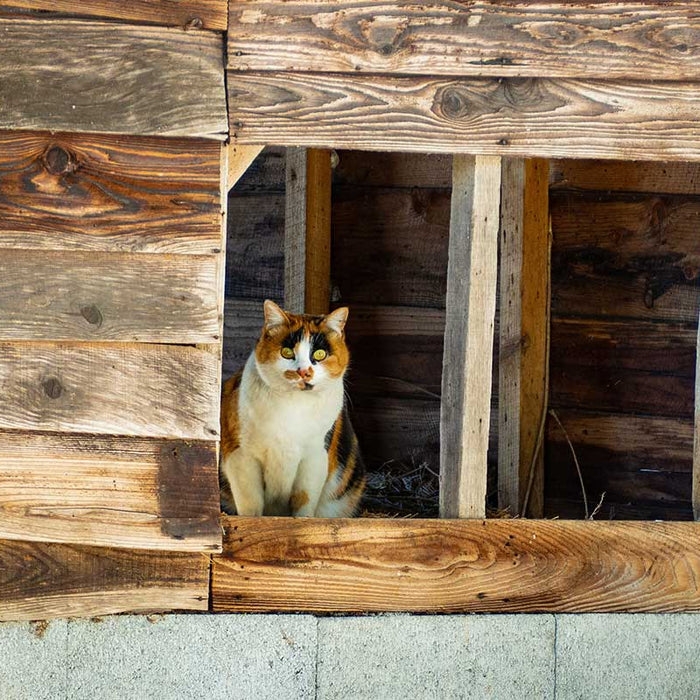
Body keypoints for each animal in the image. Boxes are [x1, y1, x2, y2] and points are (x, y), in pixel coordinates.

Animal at [221, 298, 366, 516]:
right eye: (287, 352)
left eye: (320, 354)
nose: (303, 371)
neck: (293, 404)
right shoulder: (240, 454)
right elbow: (250, 503)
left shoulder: (316, 457)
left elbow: (304, 498)